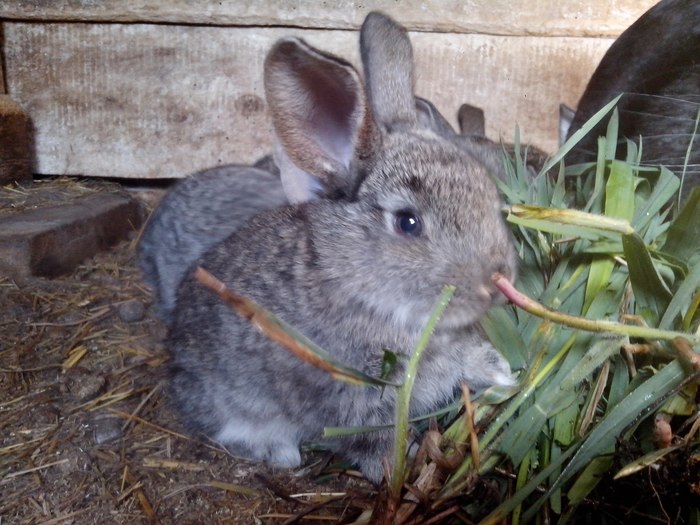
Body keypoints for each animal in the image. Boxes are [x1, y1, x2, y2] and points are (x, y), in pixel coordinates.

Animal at [167, 11, 516, 484]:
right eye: (408, 222)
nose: (497, 281)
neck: (358, 289)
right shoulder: (350, 399)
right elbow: (369, 442)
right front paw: (399, 471)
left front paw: (505, 375)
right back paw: (279, 452)